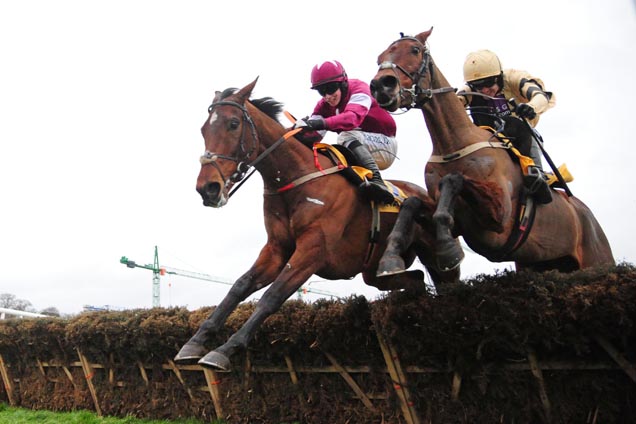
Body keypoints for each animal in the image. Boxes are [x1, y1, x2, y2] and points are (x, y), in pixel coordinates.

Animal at [175, 79, 462, 372]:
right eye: (203, 129)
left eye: (233, 124)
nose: (208, 189)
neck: (294, 177)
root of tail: (426, 194)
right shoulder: (276, 248)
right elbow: (239, 286)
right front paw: (195, 342)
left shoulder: (313, 250)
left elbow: (272, 296)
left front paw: (224, 350)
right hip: (375, 273)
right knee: (415, 279)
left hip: (437, 257)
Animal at [370, 29, 612, 274]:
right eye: (379, 58)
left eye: (415, 50)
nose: (381, 85)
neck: (453, 144)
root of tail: (587, 215)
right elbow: (412, 203)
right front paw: (390, 258)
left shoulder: (498, 216)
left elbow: (453, 179)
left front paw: (448, 250)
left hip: (597, 258)